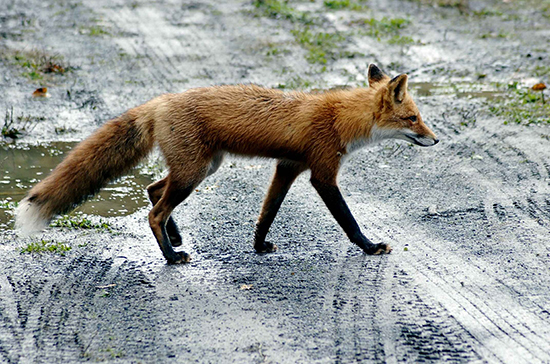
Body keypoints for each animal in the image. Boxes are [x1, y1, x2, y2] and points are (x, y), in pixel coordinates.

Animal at [15, 64, 442, 264]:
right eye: (413, 119)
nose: (437, 140)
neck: (340, 118)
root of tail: (161, 101)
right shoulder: (322, 173)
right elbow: (348, 221)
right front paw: (370, 247)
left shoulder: (287, 167)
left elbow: (267, 212)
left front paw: (258, 246)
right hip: (194, 172)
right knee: (154, 211)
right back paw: (171, 256)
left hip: (202, 167)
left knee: (153, 190)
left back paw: (175, 238)